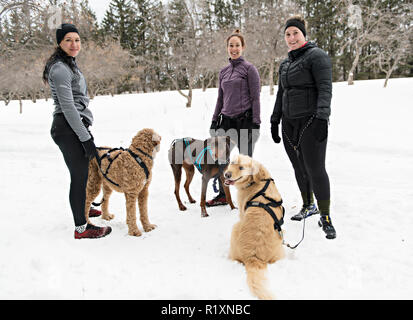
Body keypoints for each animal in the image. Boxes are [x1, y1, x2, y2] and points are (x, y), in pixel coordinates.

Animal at [224, 155, 284, 300]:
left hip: (235, 227)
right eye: (232, 163)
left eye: (241, 167)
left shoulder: (241, 211)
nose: (227, 174)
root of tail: (253, 258)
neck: (257, 181)